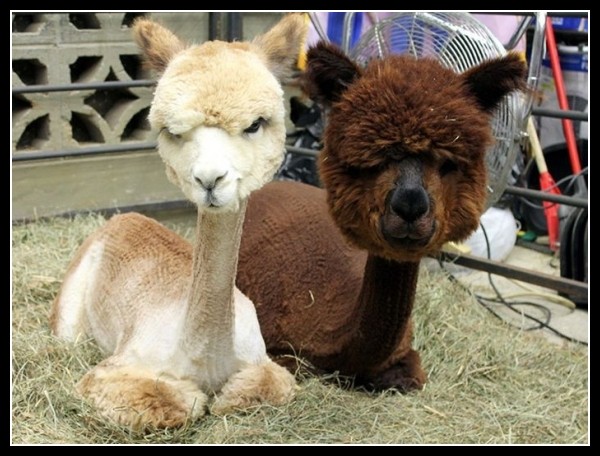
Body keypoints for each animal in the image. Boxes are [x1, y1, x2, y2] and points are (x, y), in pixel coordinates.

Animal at [50, 14, 307, 428]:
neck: (205, 358)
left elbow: (271, 387)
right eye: (172, 131)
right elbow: (172, 402)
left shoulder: (262, 359)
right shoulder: (116, 368)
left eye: (255, 124)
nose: (210, 179)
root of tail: (126, 218)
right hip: (70, 308)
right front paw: (195, 398)